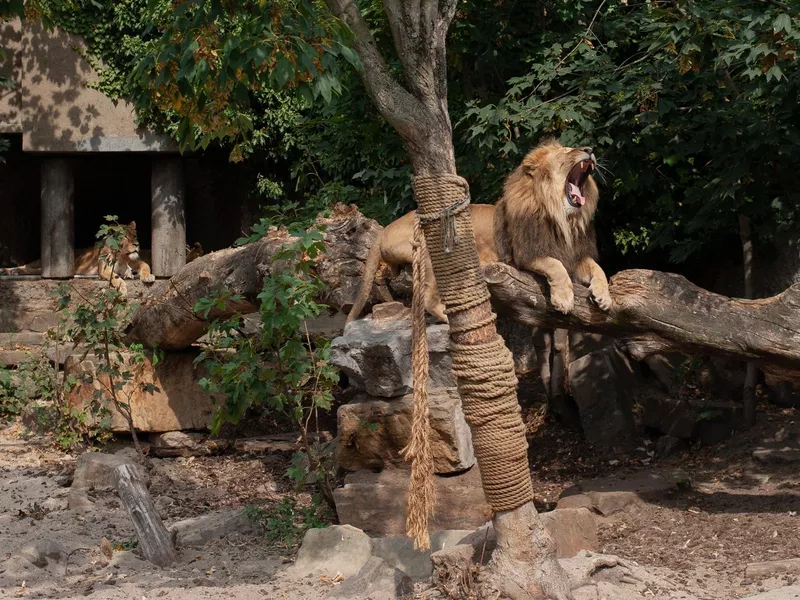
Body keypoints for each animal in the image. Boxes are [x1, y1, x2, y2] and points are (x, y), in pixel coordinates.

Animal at [494, 138, 612, 312]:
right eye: (565, 151)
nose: (590, 149)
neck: (563, 219)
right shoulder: (527, 254)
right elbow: (556, 265)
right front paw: (563, 299)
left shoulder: (576, 256)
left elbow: (598, 268)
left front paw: (604, 296)